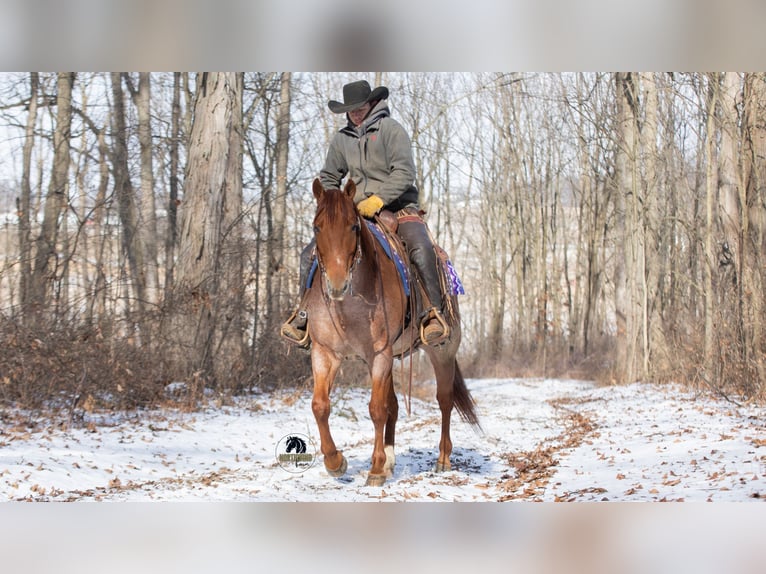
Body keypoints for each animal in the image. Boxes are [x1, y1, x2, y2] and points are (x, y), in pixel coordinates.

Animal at [304, 178, 479, 487]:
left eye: (354, 226)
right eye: (316, 227)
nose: (337, 284)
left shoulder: (380, 354)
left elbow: (376, 409)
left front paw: (374, 470)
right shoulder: (325, 352)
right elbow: (320, 405)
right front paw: (336, 462)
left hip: (442, 350)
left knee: (444, 400)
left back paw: (443, 459)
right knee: (395, 405)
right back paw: (390, 460)